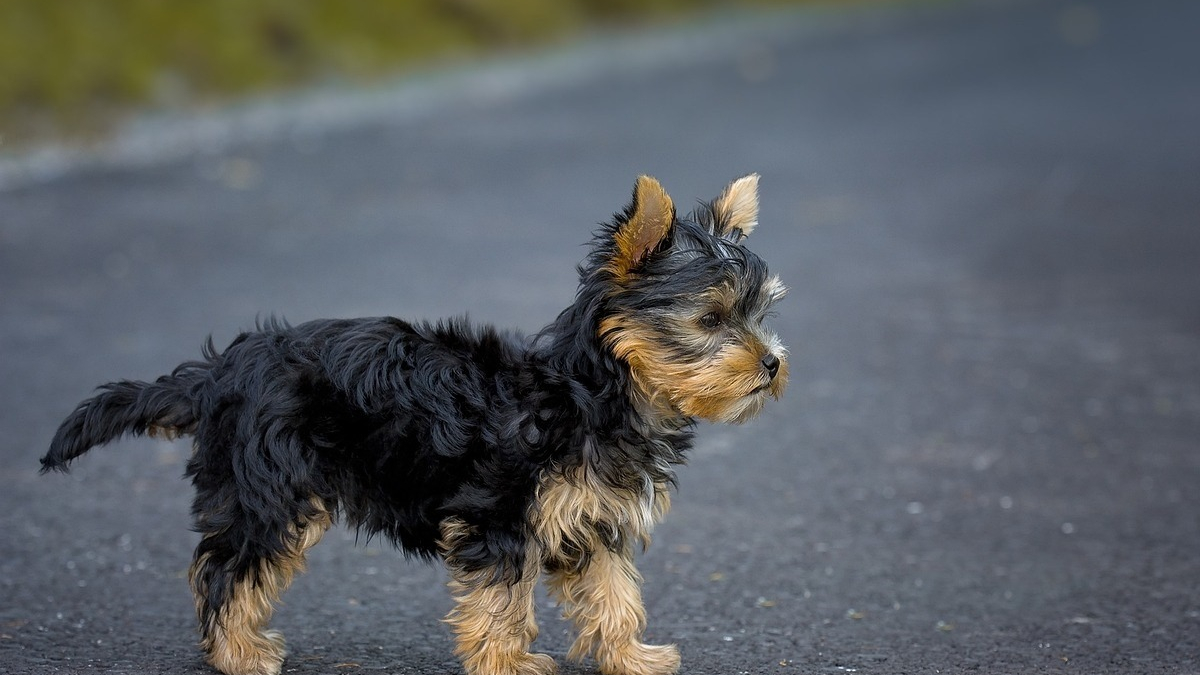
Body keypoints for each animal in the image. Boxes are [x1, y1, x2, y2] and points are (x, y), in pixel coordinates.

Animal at [39, 174, 787, 672]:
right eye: (711, 319)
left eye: (759, 314)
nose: (774, 362)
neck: (589, 393)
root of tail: (221, 372)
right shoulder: (498, 516)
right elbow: (501, 600)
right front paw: (509, 663)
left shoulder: (592, 520)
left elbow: (613, 592)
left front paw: (631, 656)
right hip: (272, 489)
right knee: (231, 568)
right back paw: (238, 653)